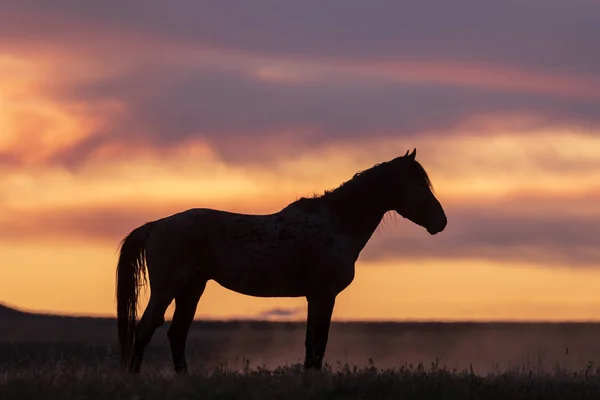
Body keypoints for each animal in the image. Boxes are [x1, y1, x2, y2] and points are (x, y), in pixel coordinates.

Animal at [116, 148, 446, 374]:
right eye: (417, 184)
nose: (441, 222)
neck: (337, 222)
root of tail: (156, 225)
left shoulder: (316, 297)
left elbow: (313, 344)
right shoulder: (323, 295)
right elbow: (317, 343)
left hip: (192, 288)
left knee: (176, 333)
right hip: (167, 288)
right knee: (145, 330)